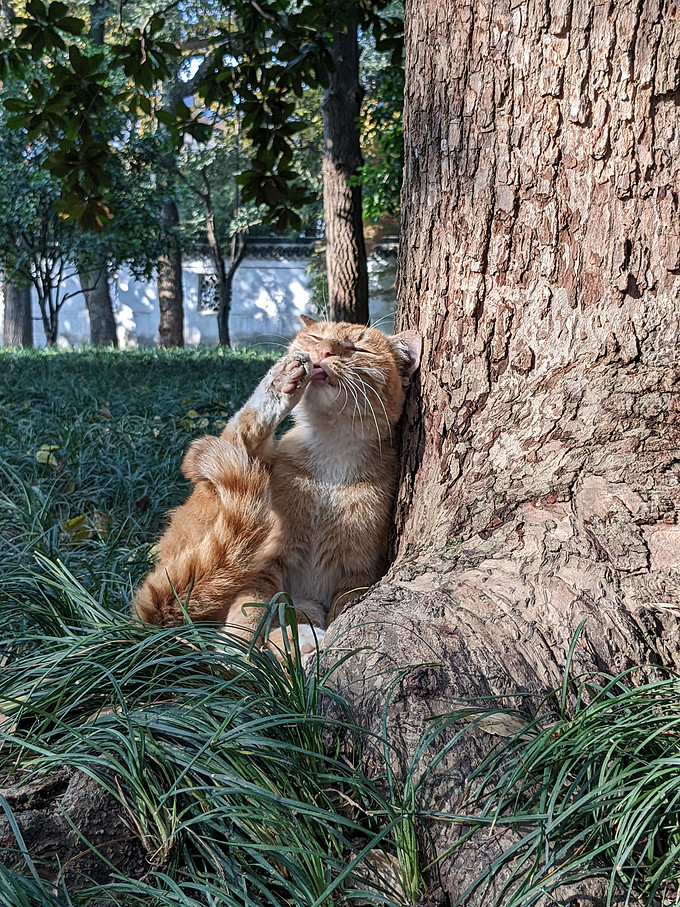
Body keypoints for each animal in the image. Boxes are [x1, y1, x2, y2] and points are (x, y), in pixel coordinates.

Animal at [132, 320, 420, 660]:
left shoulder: (357, 575)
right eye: (316, 337)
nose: (323, 352)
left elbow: (344, 616)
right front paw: (233, 660)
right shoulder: (266, 560)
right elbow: (246, 617)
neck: (332, 456)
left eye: (357, 348)